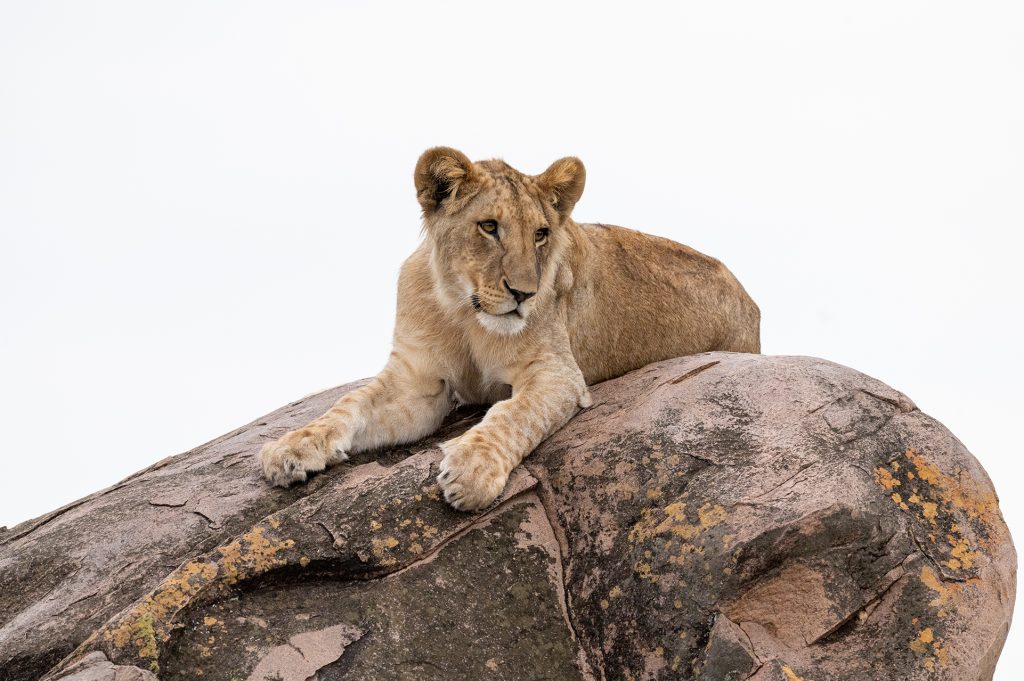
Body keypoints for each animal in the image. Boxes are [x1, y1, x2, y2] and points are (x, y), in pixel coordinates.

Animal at [260, 147, 760, 510]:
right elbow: (349, 404)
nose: (524, 293)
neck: (464, 309)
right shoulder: (417, 382)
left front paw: (471, 471)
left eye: (540, 234)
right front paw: (289, 449)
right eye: (488, 227)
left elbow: (513, 415)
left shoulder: (558, 374)